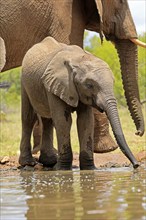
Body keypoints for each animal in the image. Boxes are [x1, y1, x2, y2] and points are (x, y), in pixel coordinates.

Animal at [19, 36, 139, 170]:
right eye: (89, 85)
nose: (136, 165)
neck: (79, 59)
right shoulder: (56, 85)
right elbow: (63, 121)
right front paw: (62, 169)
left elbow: (85, 121)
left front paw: (89, 169)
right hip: (24, 82)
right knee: (28, 118)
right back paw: (28, 163)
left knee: (47, 120)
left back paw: (49, 162)